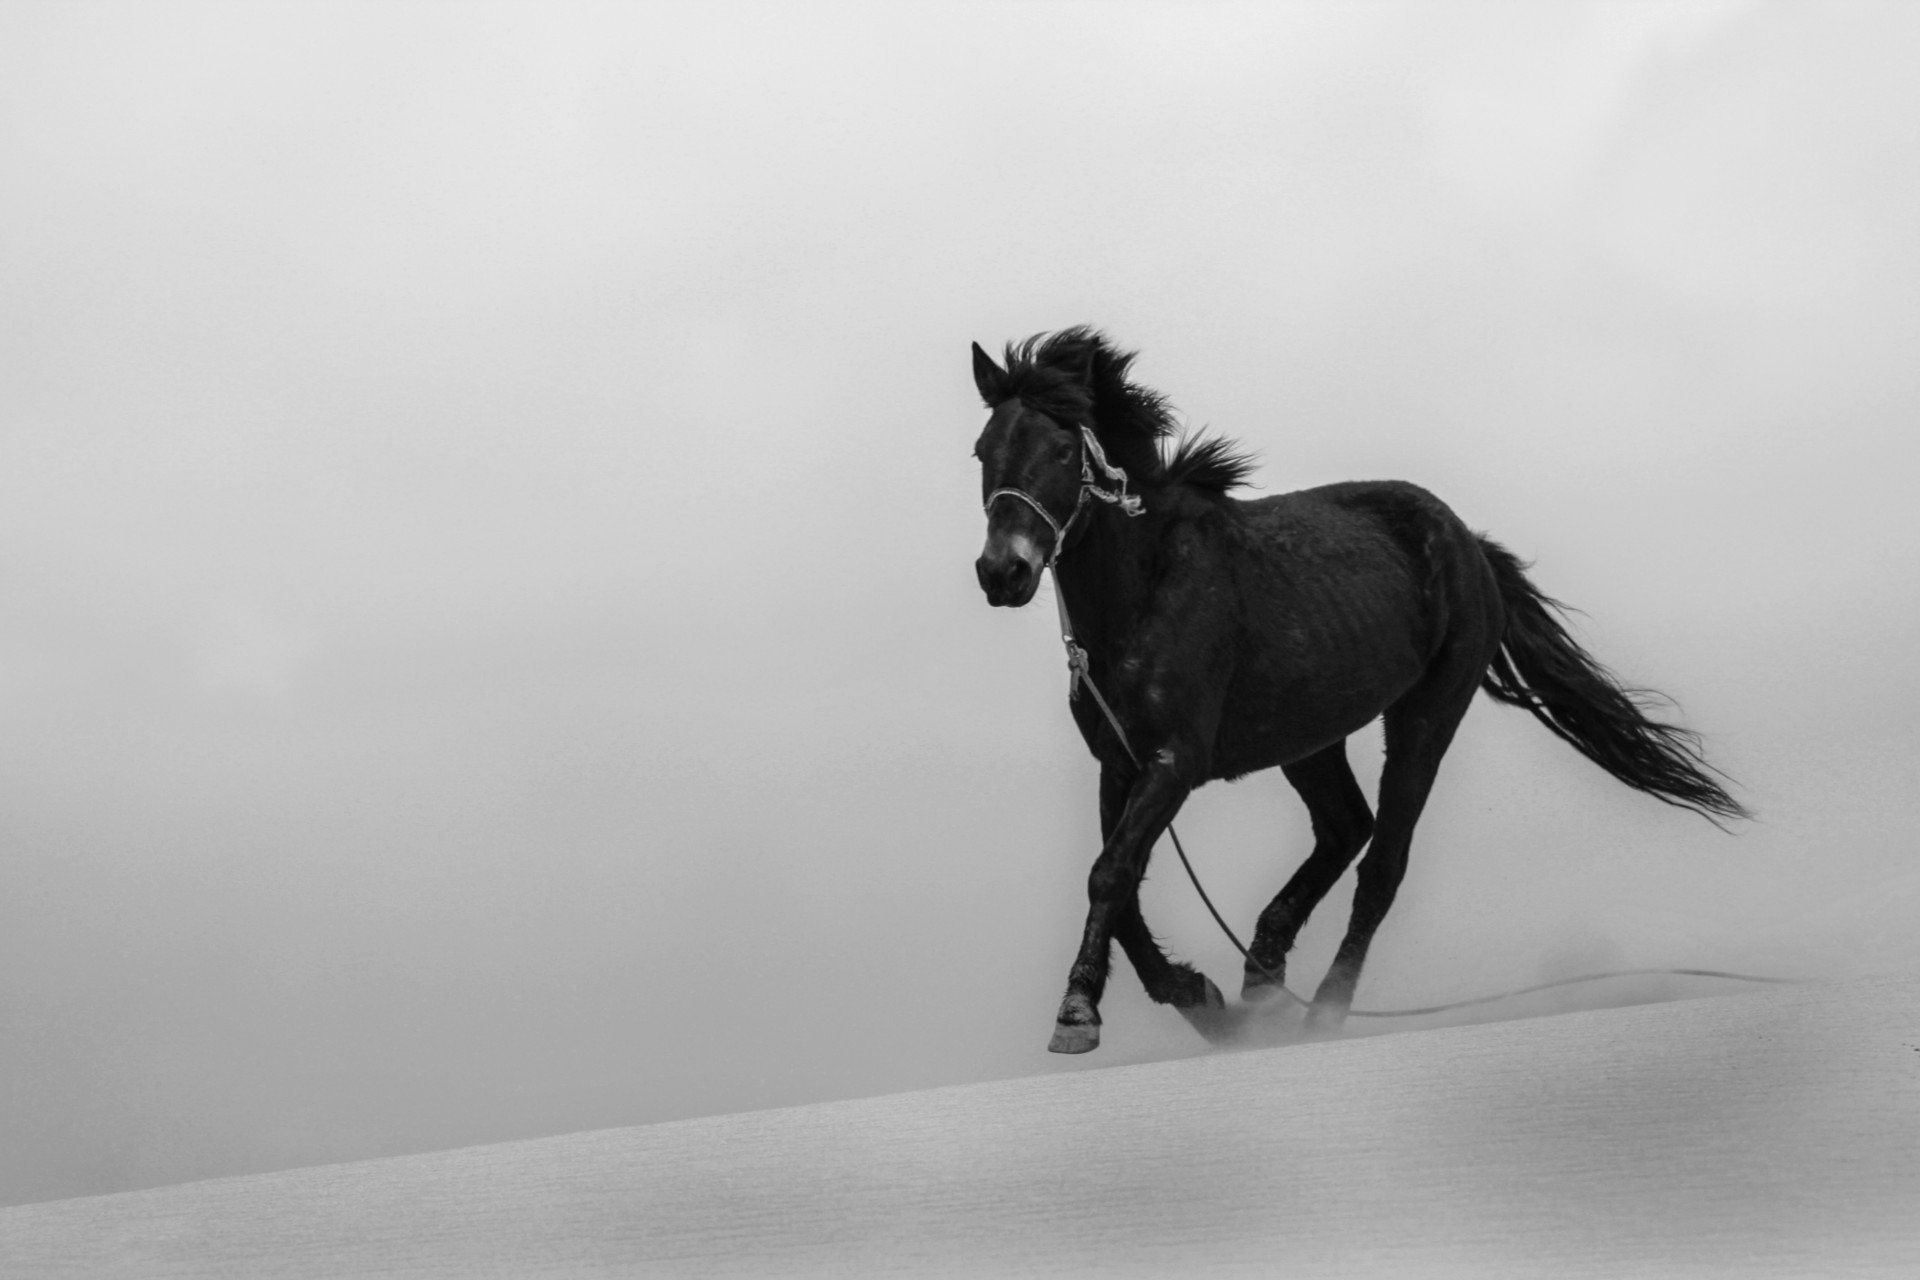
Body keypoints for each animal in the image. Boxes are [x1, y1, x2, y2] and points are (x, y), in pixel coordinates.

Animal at [967, 328, 1751, 1051]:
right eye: (981, 451)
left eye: (1063, 451)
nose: (1003, 572)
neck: (1145, 593)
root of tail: (1470, 545)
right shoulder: (1119, 763)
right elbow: (1120, 885)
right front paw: (1199, 999)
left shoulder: (1174, 762)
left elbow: (1110, 874)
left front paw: (1079, 1013)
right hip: (1309, 735)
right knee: (1346, 827)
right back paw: (1262, 979)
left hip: (1425, 718)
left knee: (1382, 864)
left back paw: (1321, 1011)